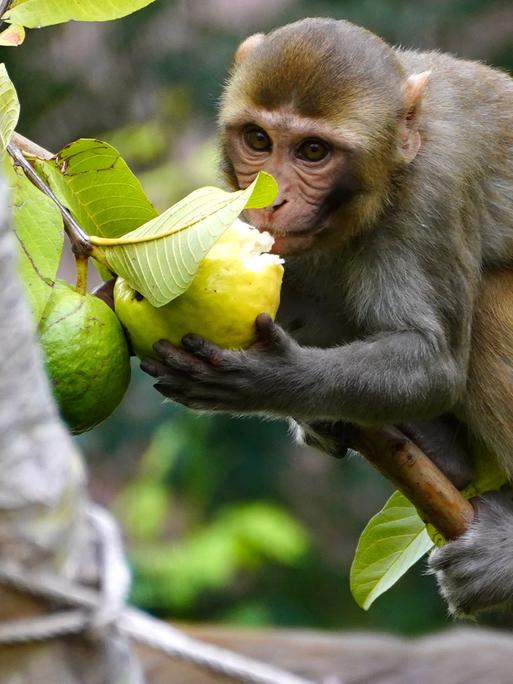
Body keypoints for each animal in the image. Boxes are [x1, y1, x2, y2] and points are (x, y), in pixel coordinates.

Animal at [139, 17, 513, 616]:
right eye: (259, 140)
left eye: (313, 151)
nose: (268, 199)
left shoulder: (436, 185)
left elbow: (433, 362)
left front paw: (272, 380)